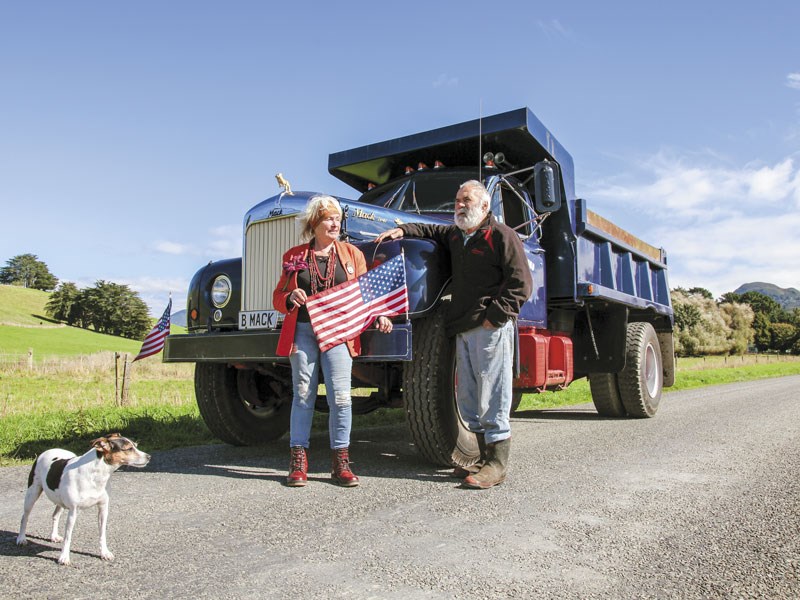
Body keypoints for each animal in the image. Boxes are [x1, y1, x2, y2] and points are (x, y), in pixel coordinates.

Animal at [15, 434, 150, 564]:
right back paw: (21, 538)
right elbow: (68, 537)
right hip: (32, 494)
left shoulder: (103, 509)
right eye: (129, 449)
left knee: (55, 515)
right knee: (24, 517)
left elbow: (102, 534)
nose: (149, 457)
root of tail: (48, 451)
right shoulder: (73, 512)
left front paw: (104, 553)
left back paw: (53, 536)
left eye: (135, 445)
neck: (95, 475)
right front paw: (64, 557)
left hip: (60, 501)